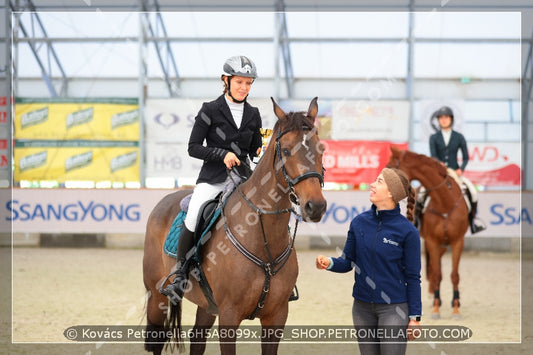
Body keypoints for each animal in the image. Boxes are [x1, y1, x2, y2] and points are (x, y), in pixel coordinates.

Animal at [141, 98, 326, 355]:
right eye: (287, 150)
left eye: (322, 150)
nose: (315, 206)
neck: (262, 240)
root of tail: (165, 199)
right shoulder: (229, 316)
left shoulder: (277, 317)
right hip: (156, 295)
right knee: (156, 340)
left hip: (207, 305)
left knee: (197, 339)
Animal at [384, 146, 468, 318]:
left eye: (389, 166)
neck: (445, 202)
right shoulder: (432, 242)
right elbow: (436, 274)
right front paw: (436, 308)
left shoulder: (458, 242)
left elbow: (454, 276)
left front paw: (456, 308)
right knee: (435, 270)